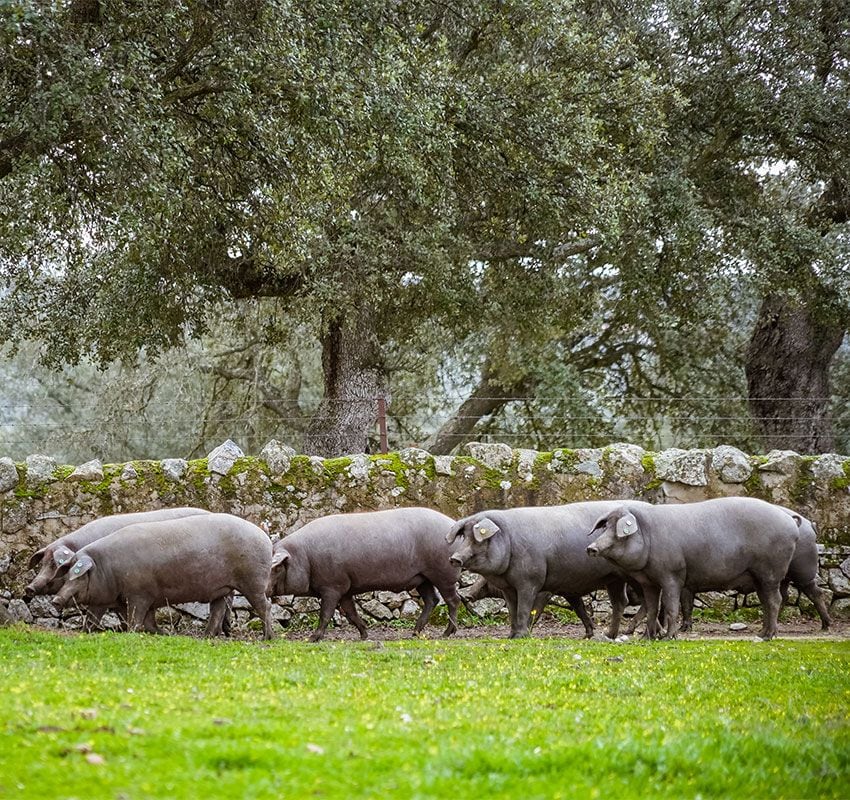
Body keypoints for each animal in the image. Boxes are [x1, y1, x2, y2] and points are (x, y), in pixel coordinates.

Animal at [52, 516, 272, 640]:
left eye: (79, 576)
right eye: (68, 575)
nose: (55, 600)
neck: (106, 568)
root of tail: (263, 535)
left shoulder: (139, 595)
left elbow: (136, 619)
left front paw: (132, 634)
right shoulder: (118, 599)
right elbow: (95, 618)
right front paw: (163, 634)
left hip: (253, 581)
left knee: (265, 606)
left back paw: (266, 638)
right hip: (222, 588)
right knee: (217, 611)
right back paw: (205, 637)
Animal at [266, 506, 460, 644]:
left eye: (275, 567)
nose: (263, 589)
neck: (305, 557)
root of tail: (452, 522)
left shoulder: (332, 586)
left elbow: (326, 613)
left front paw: (312, 639)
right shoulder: (345, 589)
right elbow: (351, 613)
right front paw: (364, 635)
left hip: (443, 574)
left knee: (453, 600)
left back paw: (446, 634)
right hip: (422, 578)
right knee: (432, 600)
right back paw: (414, 633)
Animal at [444, 504, 636, 640]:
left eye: (477, 539)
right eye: (464, 536)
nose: (454, 558)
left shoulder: (532, 582)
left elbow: (526, 609)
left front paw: (522, 636)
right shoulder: (509, 588)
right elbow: (513, 610)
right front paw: (511, 636)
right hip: (614, 579)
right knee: (620, 602)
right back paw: (610, 635)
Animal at [588, 496, 800, 640]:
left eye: (617, 531)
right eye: (605, 527)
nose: (591, 548)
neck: (648, 534)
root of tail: (790, 521)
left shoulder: (672, 574)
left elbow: (671, 606)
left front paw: (669, 638)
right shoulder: (649, 582)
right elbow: (652, 609)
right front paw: (646, 638)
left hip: (771, 571)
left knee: (775, 600)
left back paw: (768, 636)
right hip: (758, 577)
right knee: (765, 601)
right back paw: (761, 634)